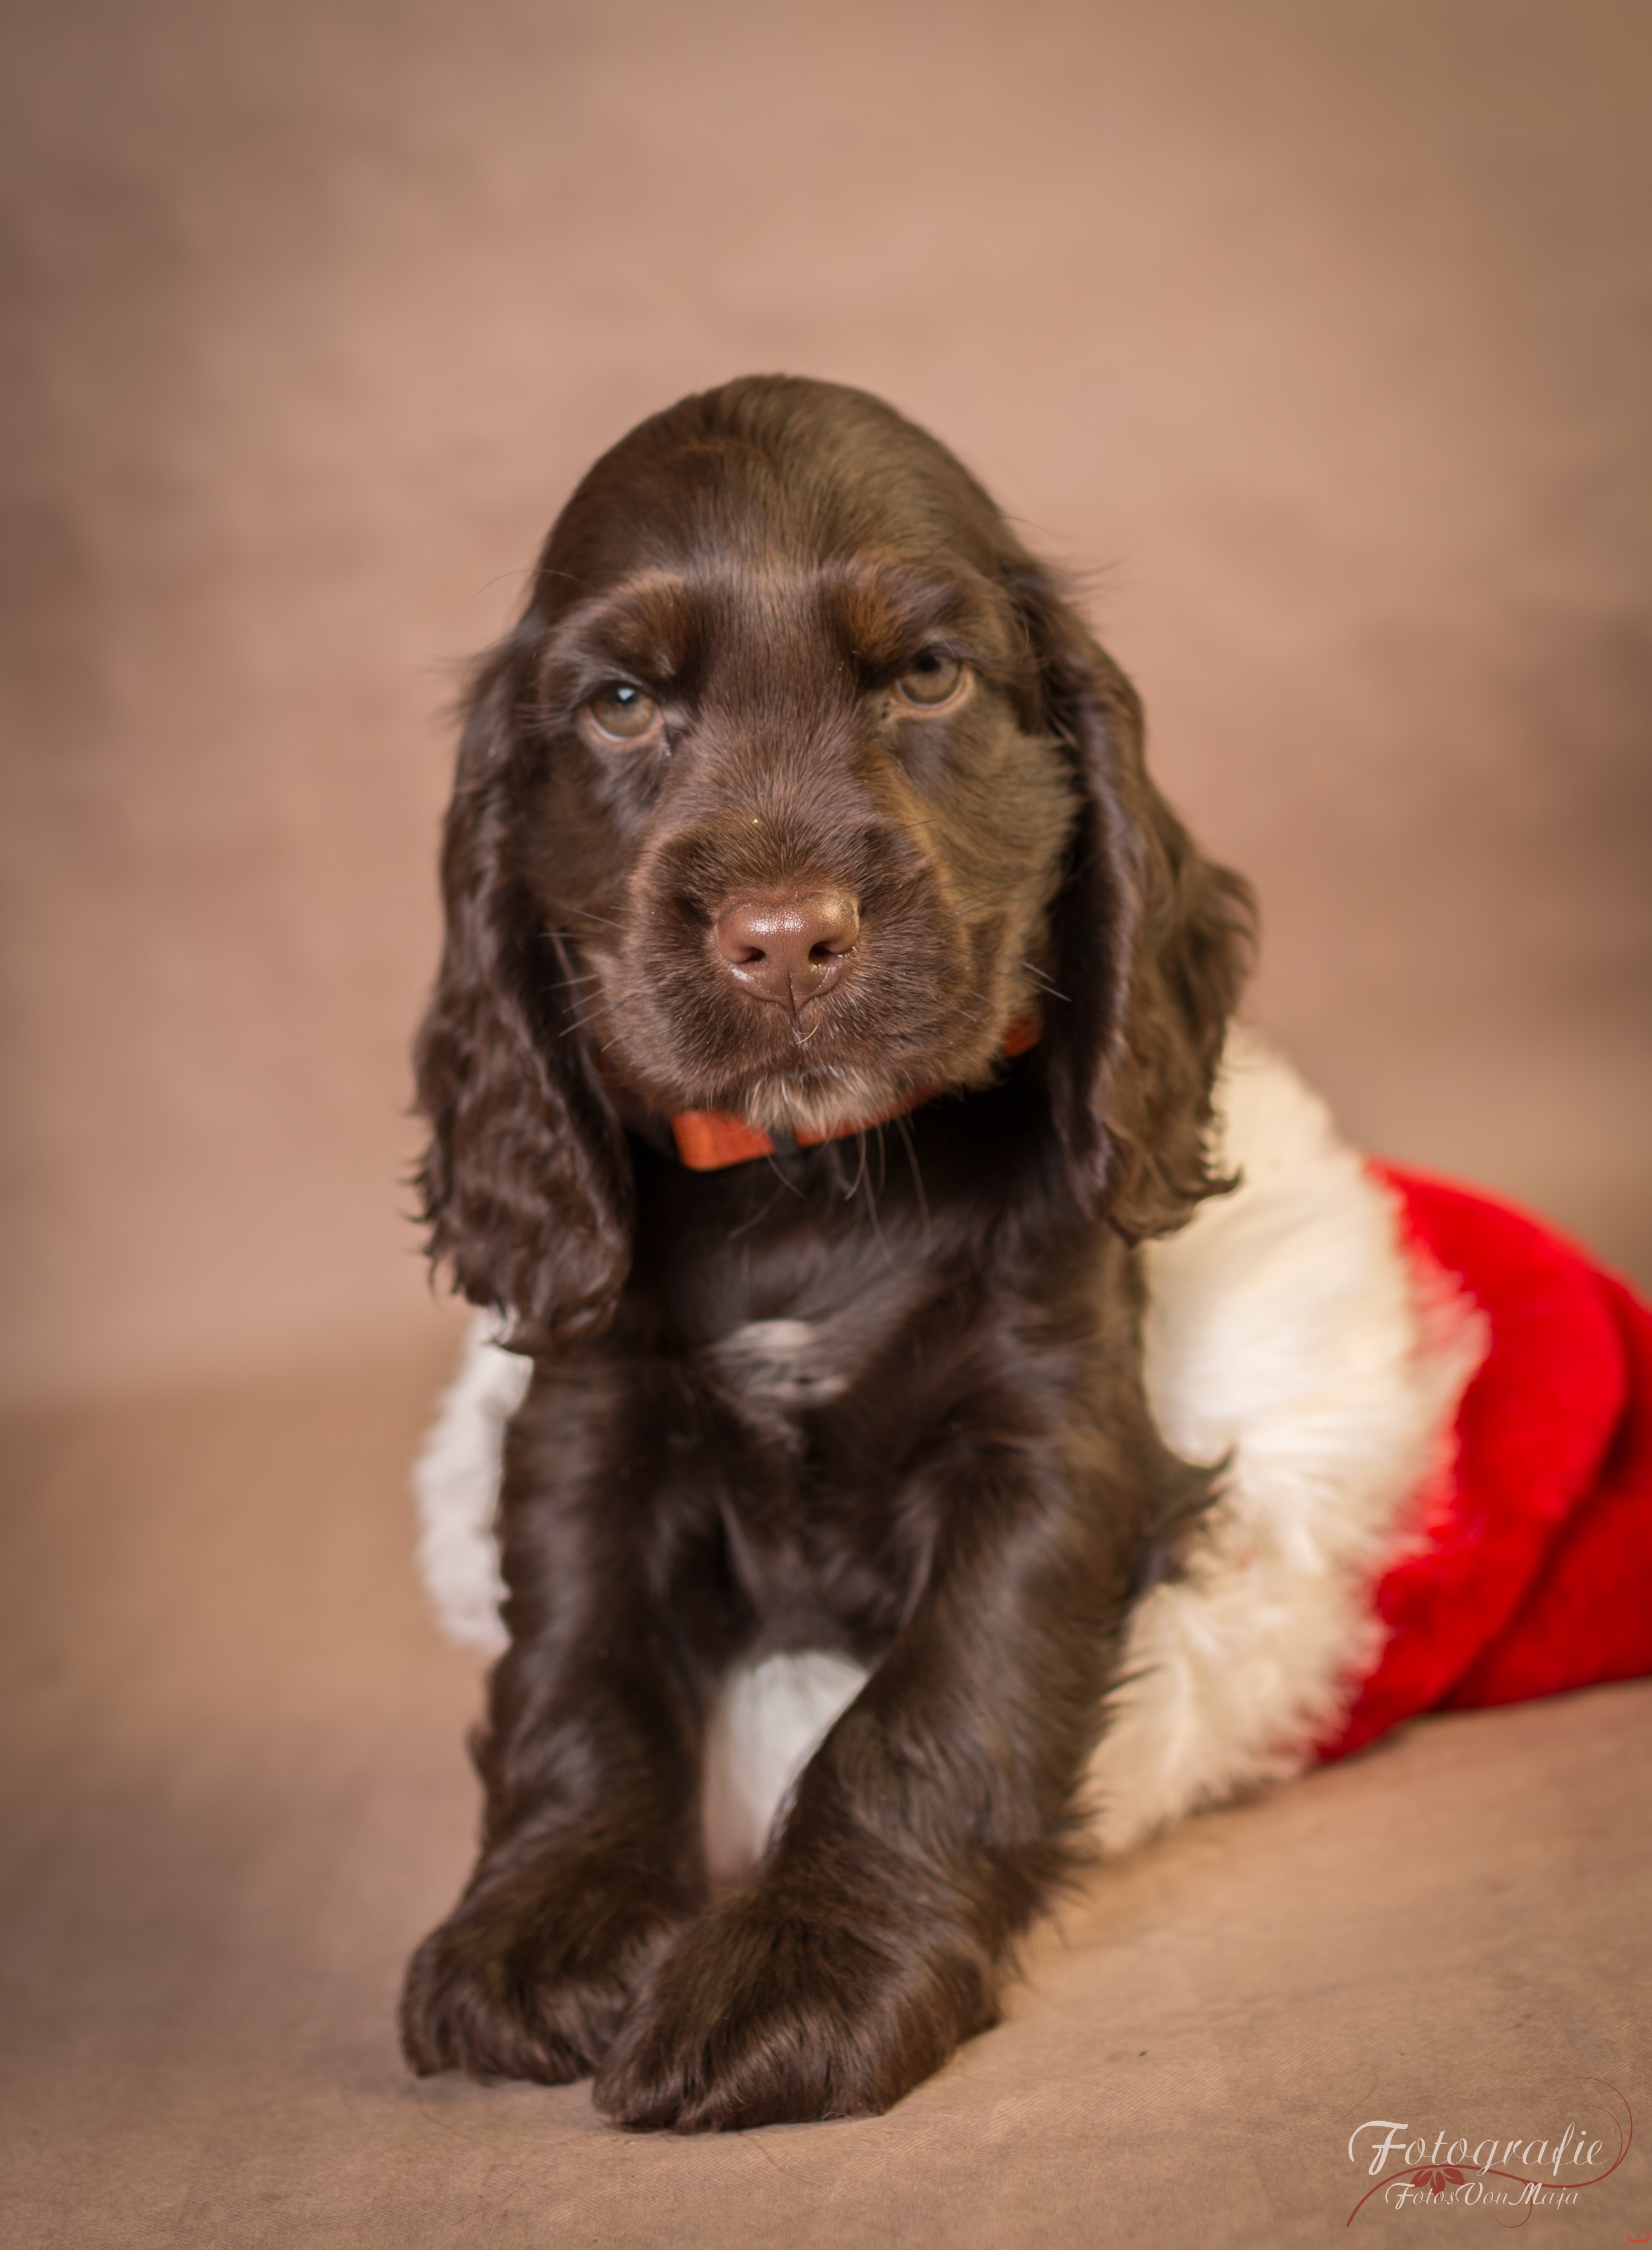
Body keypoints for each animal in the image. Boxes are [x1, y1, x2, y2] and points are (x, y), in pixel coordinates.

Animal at [399, 374, 1652, 2130]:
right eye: (623, 703)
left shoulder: (1048, 1432)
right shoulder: (587, 1424)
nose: (782, 939)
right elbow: (581, 1671)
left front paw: (805, 1970)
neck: (817, 1183)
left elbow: (928, 1702)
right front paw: (543, 1921)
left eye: (928, 674)